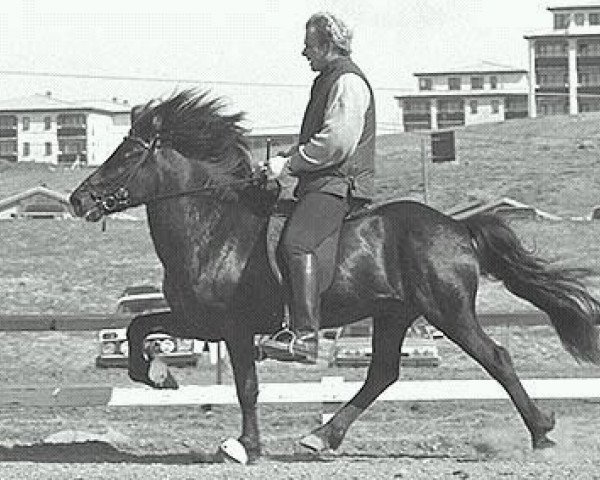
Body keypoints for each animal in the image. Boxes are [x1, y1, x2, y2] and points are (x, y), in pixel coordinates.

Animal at [69, 89, 600, 462]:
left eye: (127, 155)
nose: (78, 200)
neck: (212, 227)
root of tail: (456, 226)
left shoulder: (234, 328)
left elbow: (246, 387)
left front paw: (243, 446)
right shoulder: (199, 321)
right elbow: (138, 329)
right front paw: (159, 375)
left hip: (447, 310)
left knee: (496, 358)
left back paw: (542, 433)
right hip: (393, 315)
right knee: (382, 373)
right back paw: (322, 437)